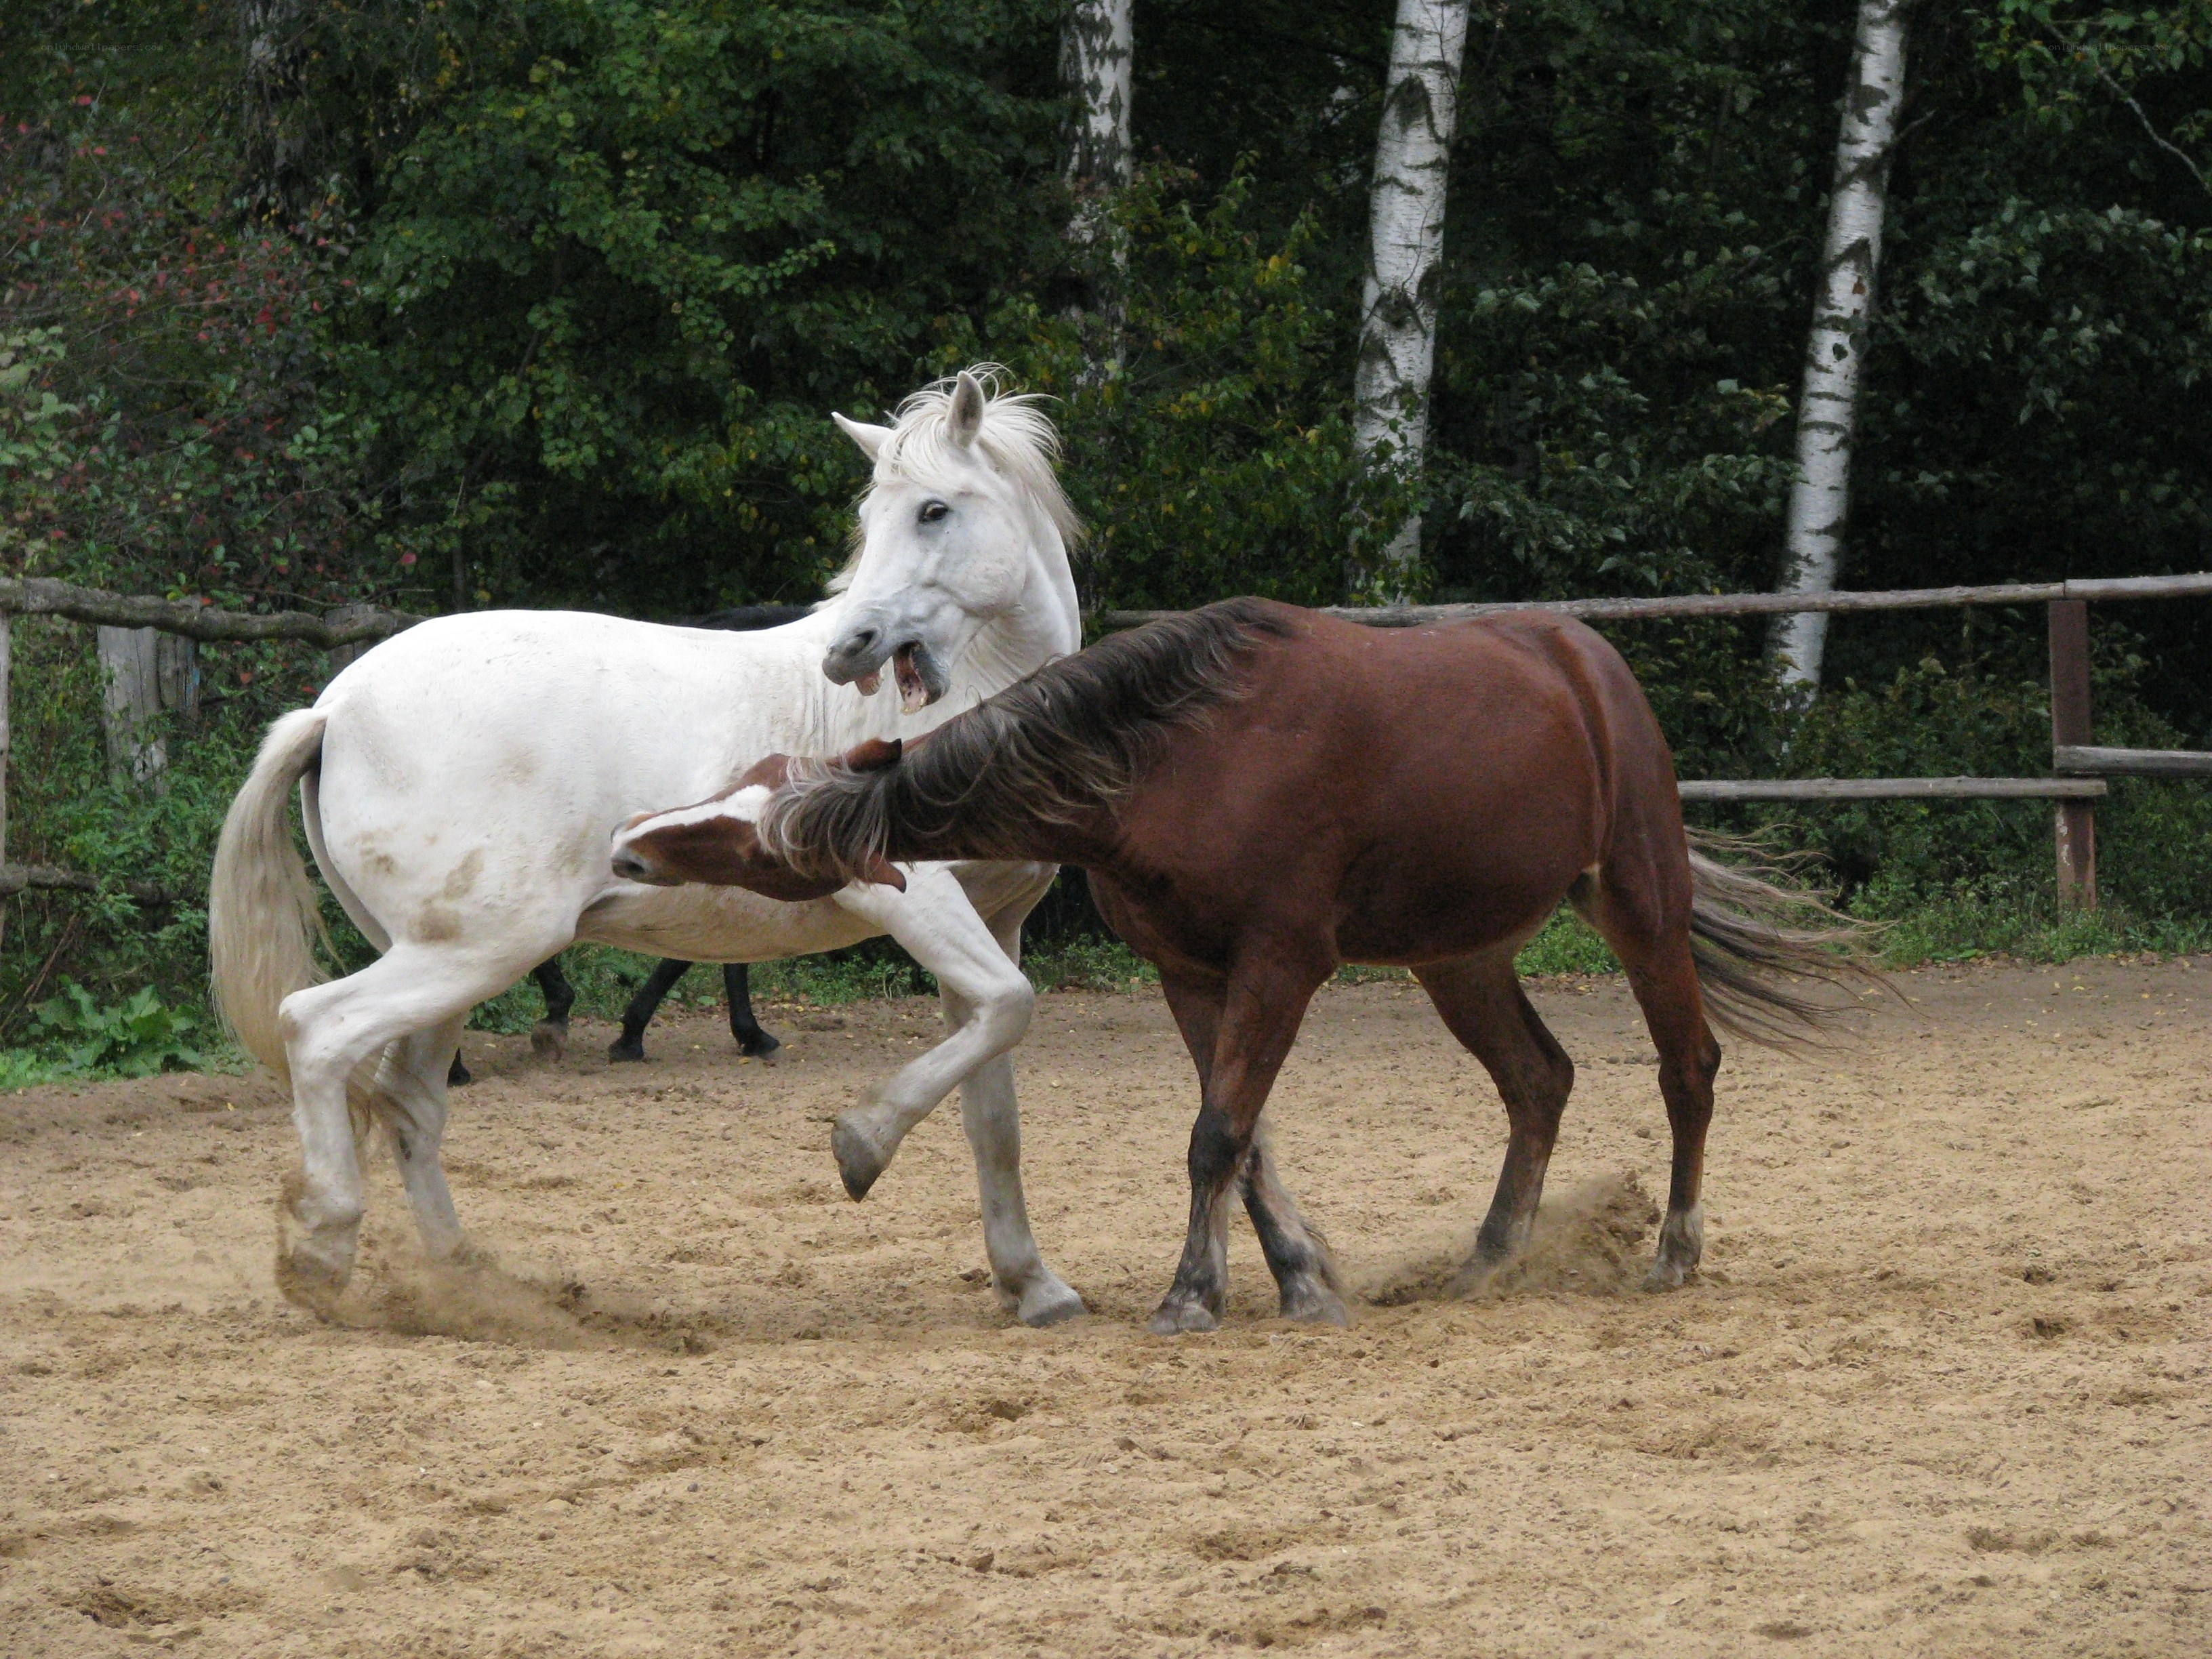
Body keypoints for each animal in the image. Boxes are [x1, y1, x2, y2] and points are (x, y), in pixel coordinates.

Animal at [211, 368, 1092, 1327]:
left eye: (934, 510)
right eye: (871, 517)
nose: (848, 649)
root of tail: (333, 708)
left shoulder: (995, 922)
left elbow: (994, 1108)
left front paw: (1034, 1286)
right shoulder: (912, 897)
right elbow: (1012, 1009)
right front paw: (862, 1143)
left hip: (442, 959)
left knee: (408, 1100)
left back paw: (467, 1284)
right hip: (482, 948)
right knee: (316, 1030)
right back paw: (323, 1253)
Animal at [610, 598, 1879, 1334]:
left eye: (751, 840)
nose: (628, 842)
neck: (1173, 755)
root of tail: (1585, 660)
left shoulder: (1281, 961)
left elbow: (1218, 1132)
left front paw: (1190, 1295)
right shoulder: (1192, 972)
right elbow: (1240, 1133)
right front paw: (1286, 1279)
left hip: (1636, 898)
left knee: (1687, 1067)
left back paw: (1673, 1251)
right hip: (1459, 956)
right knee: (1539, 1080)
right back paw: (1489, 1256)